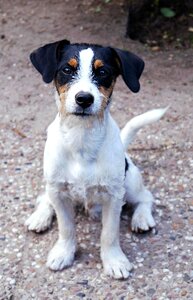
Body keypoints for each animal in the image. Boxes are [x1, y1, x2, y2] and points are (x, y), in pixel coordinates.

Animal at [25, 39, 167, 278]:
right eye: (67, 69)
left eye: (103, 72)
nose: (84, 99)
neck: (81, 139)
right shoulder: (58, 191)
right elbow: (66, 228)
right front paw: (64, 252)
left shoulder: (113, 196)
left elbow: (109, 234)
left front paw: (114, 261)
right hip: (52, 185)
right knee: (43, 198)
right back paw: (40, 217)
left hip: (129, 184)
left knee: (146, 197)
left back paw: (141, 218)